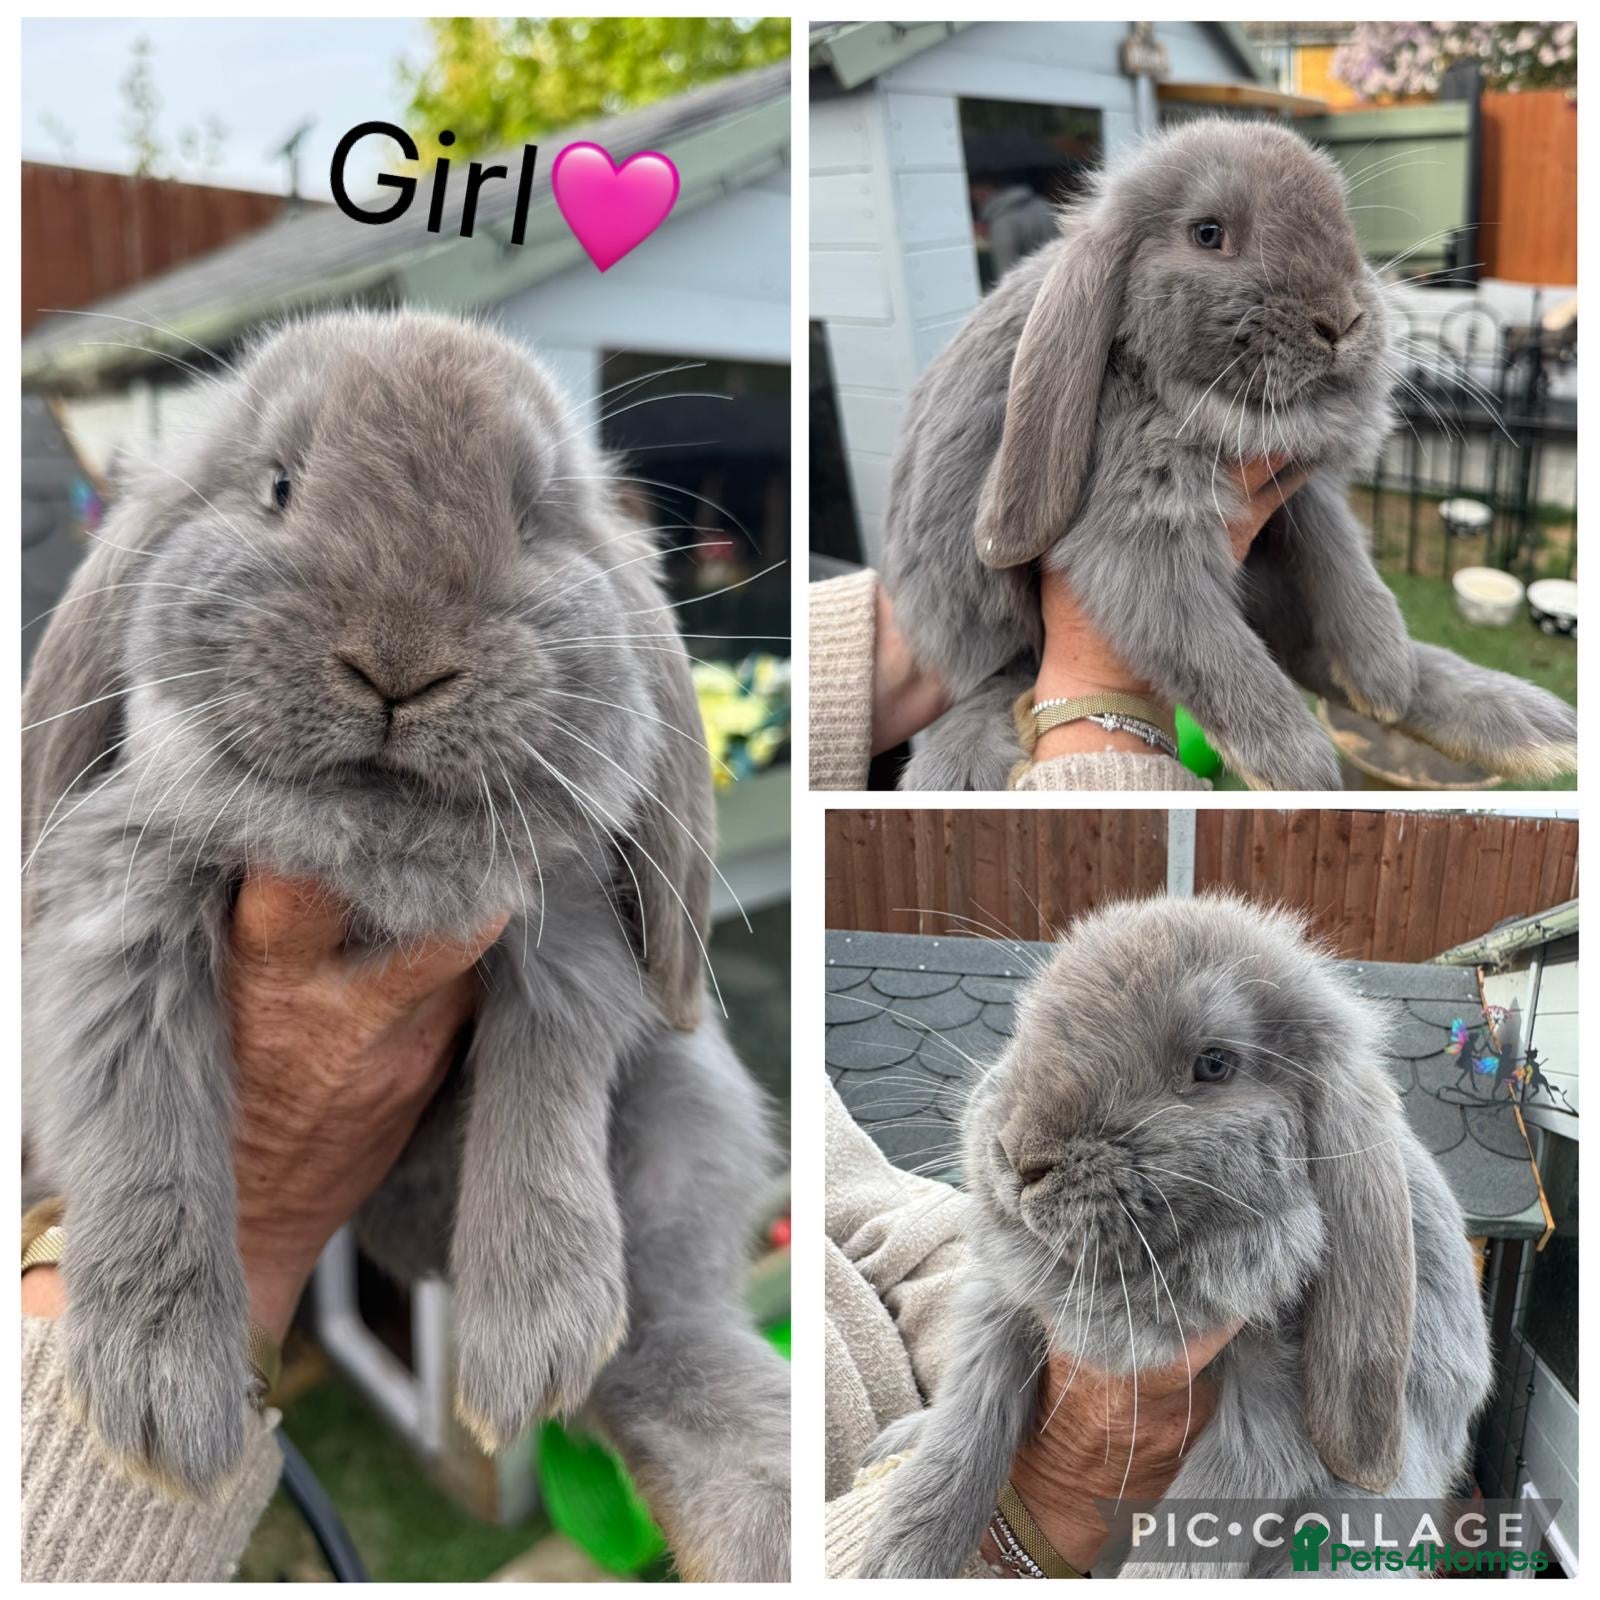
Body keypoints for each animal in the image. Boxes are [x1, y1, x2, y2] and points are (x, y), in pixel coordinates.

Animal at [21, 310, 789, 1579]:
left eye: (532, 517)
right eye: (278, 487)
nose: (399, 664)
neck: (374, 853)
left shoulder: (564, 932)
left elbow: (543, 1102)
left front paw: (528, 1342)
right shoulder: (120, 911)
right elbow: (146, 1126)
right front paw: (158, 1397)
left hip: (687, 1116)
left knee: (661, 1338)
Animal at [855, 893, 1492, 1579]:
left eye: (1213, 1063)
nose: (1021, 1158)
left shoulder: (1272, 1413)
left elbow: (1194, 1535)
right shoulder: (1002, 1317)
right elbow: (960, 1437)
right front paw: (896, 1562)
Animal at [883, 118, 1577, 790]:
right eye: (1208, 233)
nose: (1342, 321)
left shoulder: (1298, 496)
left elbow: (1348, 568)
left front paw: (1383, 677)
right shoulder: (1133, 539)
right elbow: (1209, 646)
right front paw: (1298, 769)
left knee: (1308, 651)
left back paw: (1525, 724)